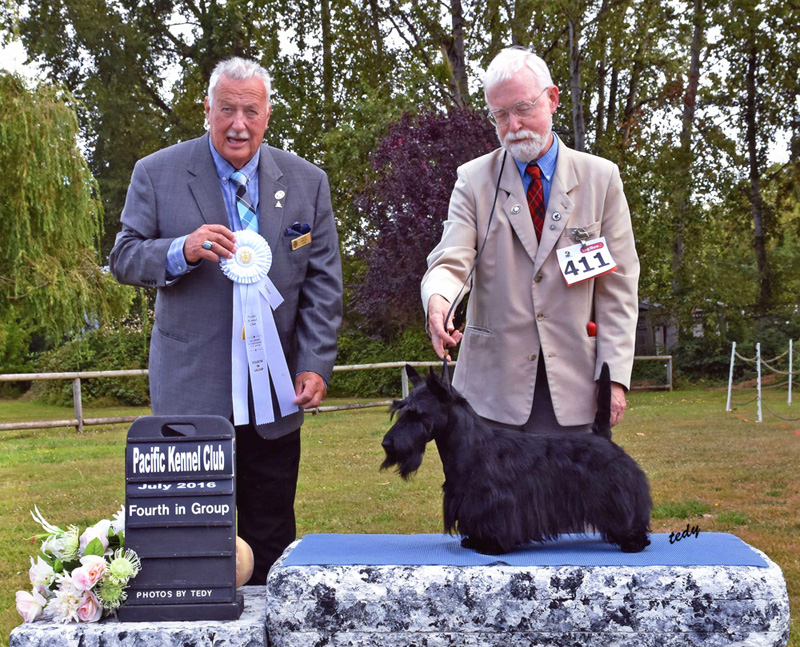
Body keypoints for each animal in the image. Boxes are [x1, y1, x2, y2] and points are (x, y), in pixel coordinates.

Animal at [381, 364, 651, 554]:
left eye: (418, 414)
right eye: (400, 410)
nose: (387, 444)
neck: (471, 445)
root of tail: (603, 437)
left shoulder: (493, 500)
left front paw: (490, 545)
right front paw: (474, 540)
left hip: (613, 494)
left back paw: (633, 541)